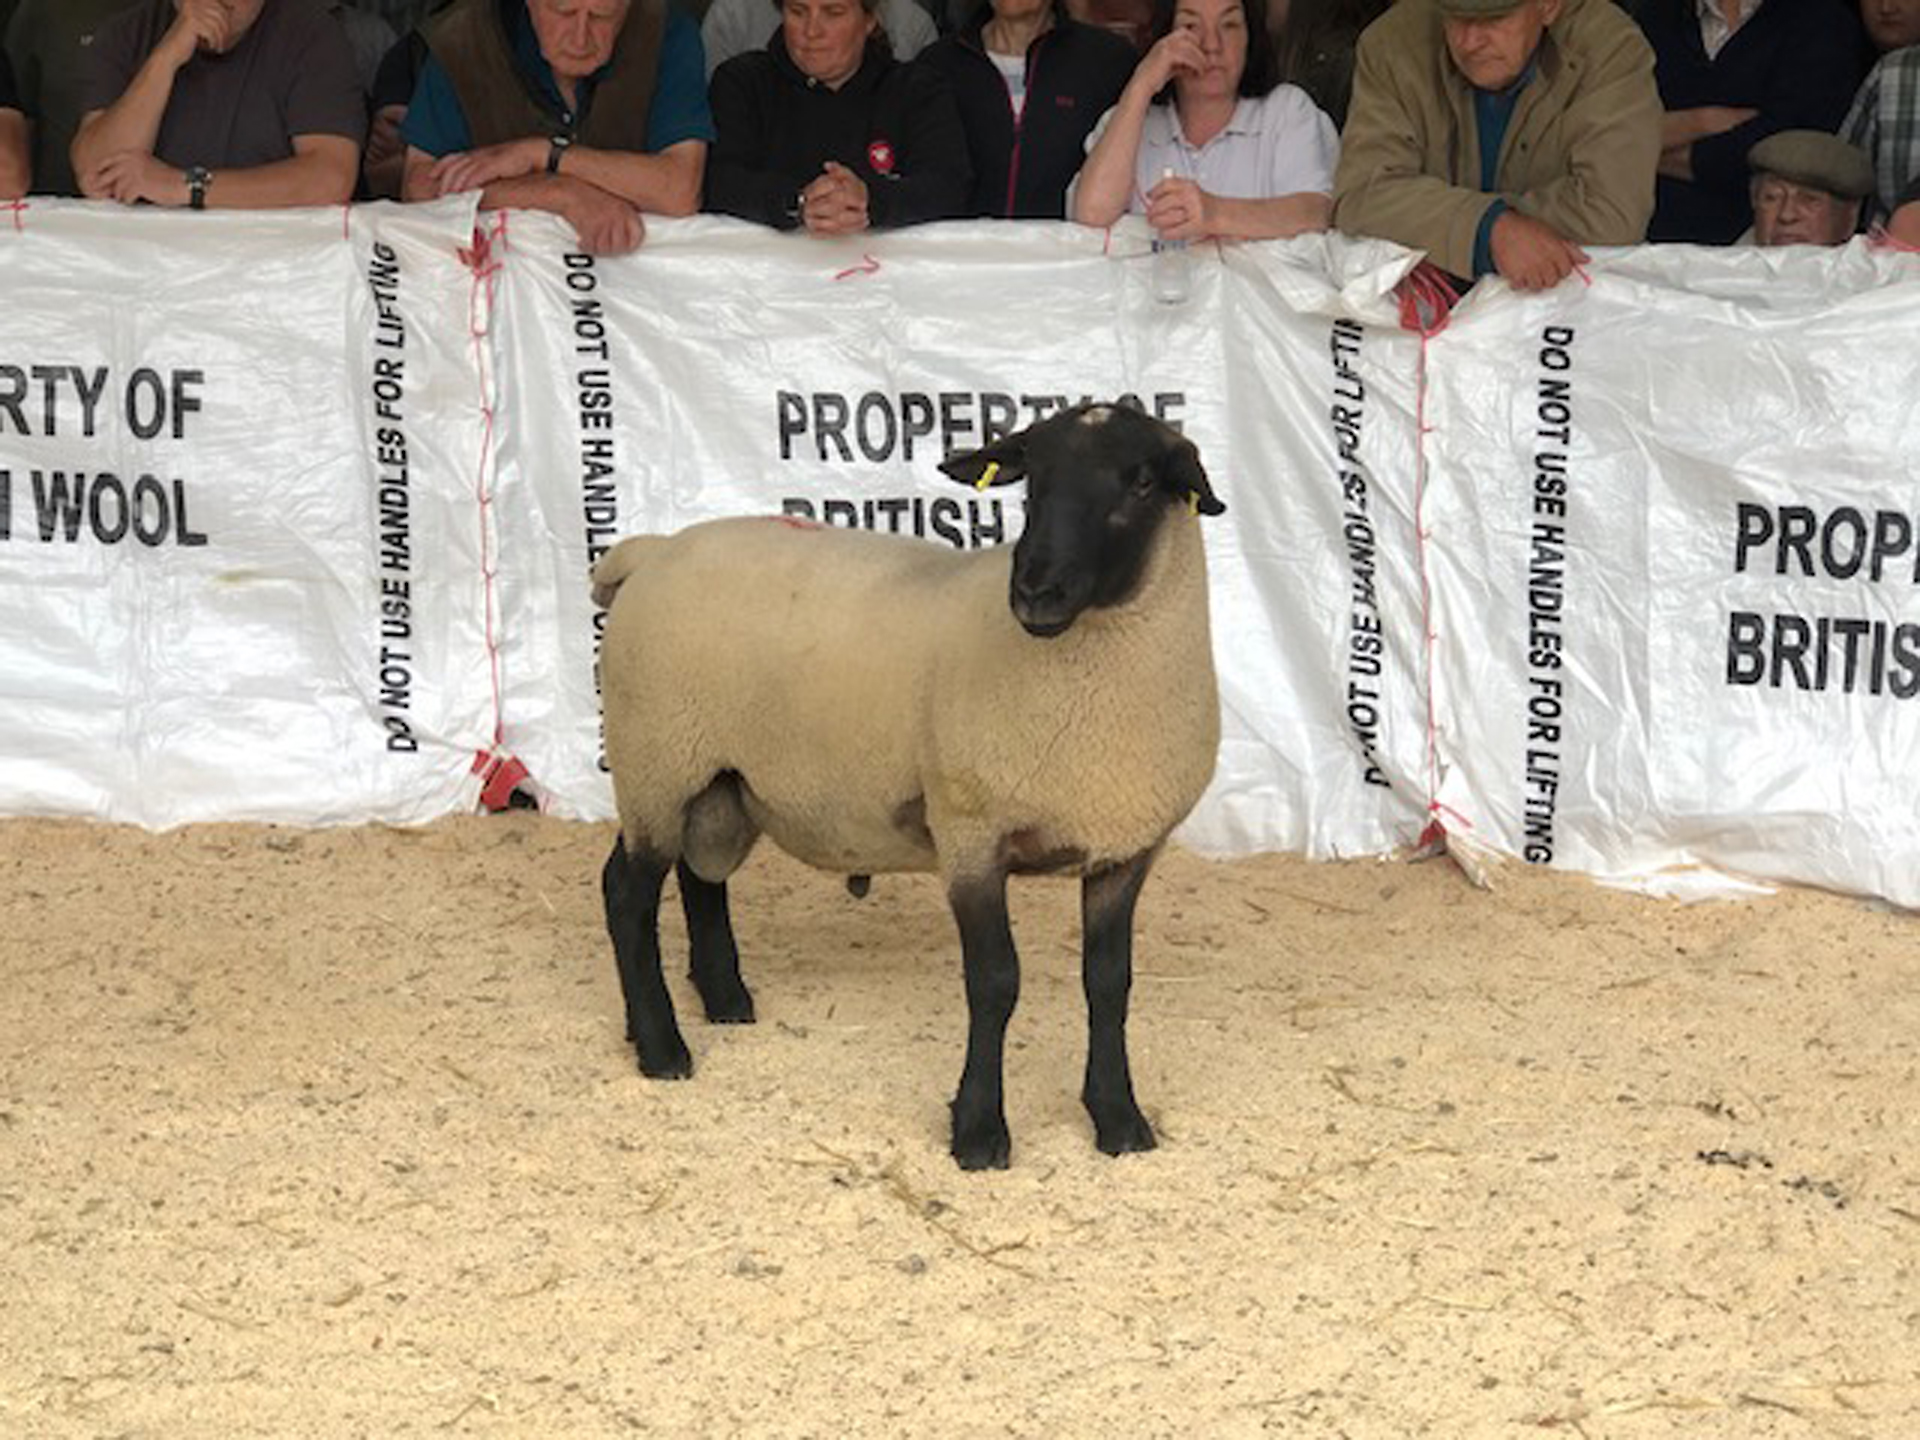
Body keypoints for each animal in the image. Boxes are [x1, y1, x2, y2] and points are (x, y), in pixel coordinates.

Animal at [590, 402, 1226, 1169]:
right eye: (1031, 482)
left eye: (1141, 484)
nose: (1034, 592)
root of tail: (650, 551)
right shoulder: (970, 834)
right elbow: (995, 982)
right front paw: (979, 1133)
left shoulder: (1124, 850)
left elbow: (1108, 982)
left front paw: (1118, 1119)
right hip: (653, 764)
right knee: (627, 894)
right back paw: (661, 1046)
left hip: (716, 776)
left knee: (698, 876)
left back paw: (721, 999)